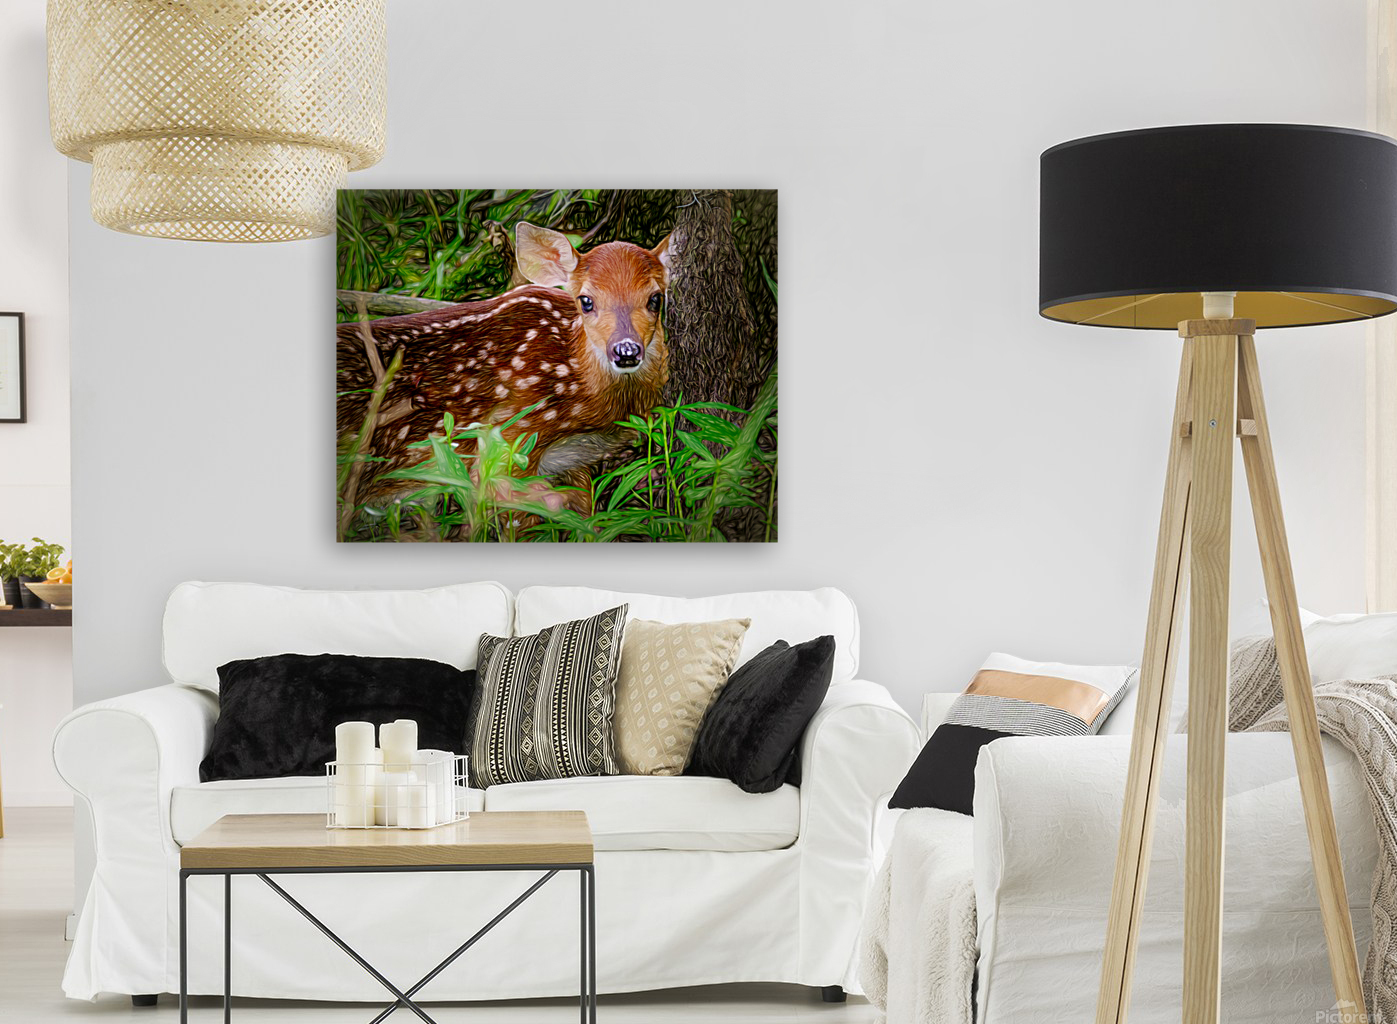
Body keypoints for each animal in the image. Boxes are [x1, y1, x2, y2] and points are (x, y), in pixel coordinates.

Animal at [337, 223, 674, 527]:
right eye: (586, 301)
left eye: (655, 298)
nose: (626, 350)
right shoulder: (510, 437)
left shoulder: (572, 461)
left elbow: (585, 515)